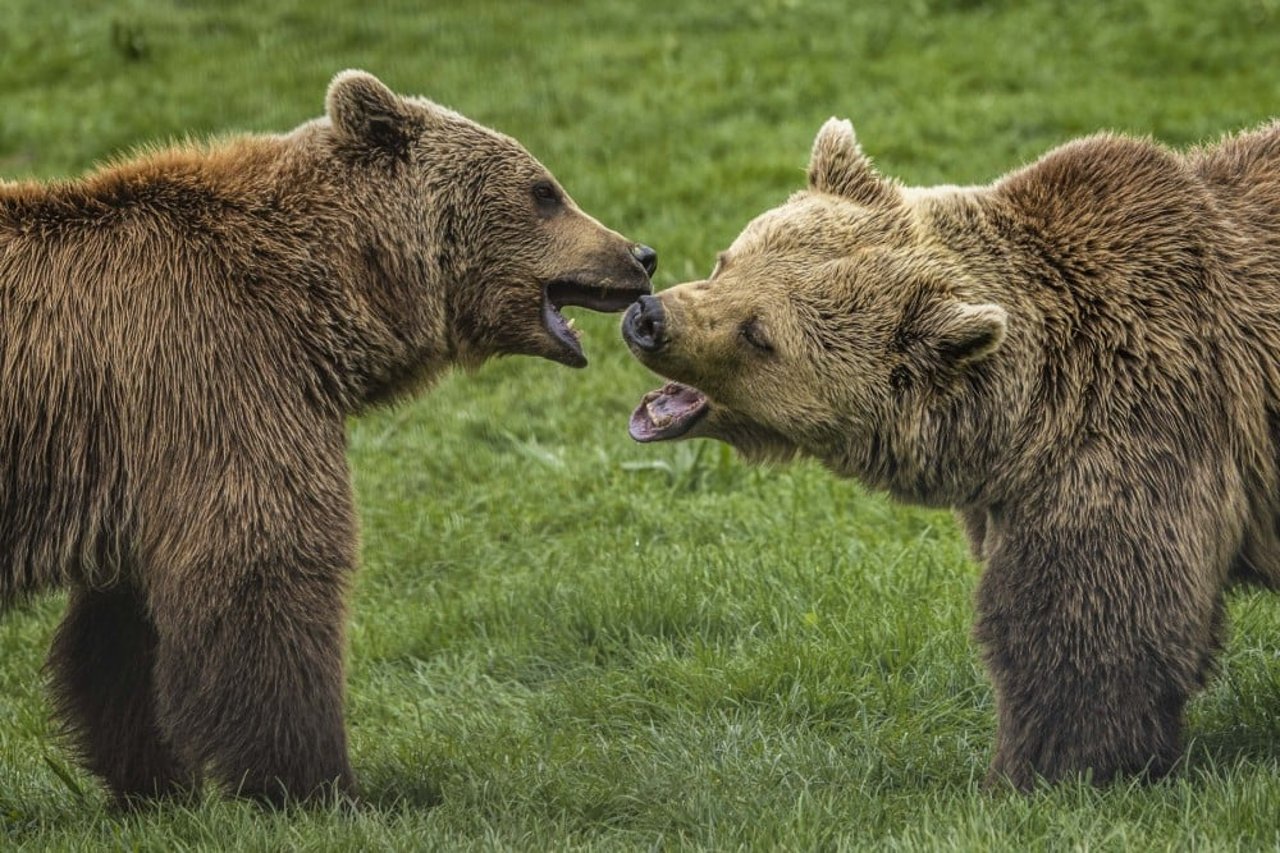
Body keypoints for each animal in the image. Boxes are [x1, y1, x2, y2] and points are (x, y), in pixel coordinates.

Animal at [0, 68, 655, 804]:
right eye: (545, 191)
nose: (641, 254)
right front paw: (319, 781)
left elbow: (122, 630)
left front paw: (155, 781)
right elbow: (263, 560)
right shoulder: (219, 368)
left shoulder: (144, 450)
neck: (323, 290)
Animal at [624, 116, 1280, 788]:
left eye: (759, 333)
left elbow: (1090, 620)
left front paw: (1048, 768)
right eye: (727, 260)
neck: (1022, 422)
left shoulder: (1138, 424)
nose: (648, 317)